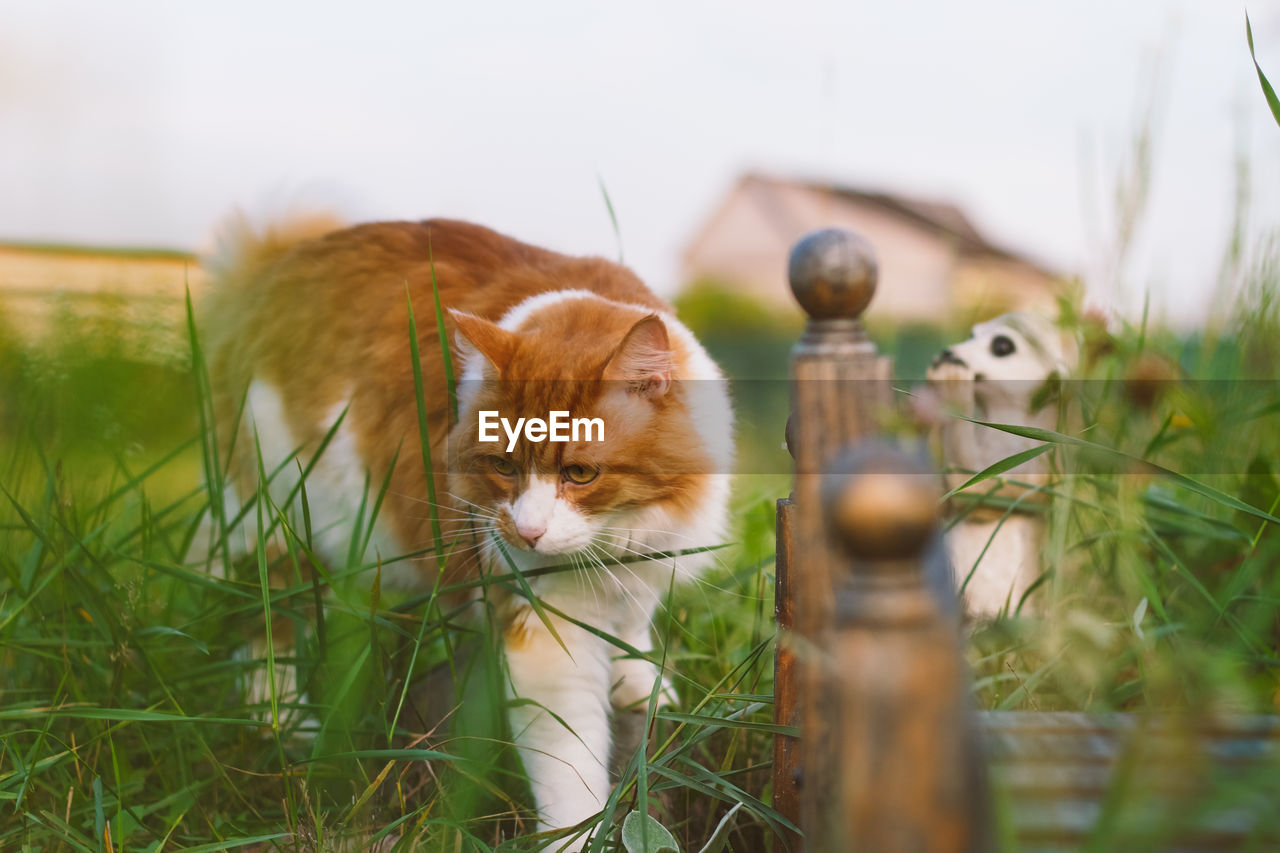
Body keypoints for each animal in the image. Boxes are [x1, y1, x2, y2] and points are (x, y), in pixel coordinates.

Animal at [204, 217, 737, 845]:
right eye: (503, 466)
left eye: (579, 473)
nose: (527, 533)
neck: (621, 532)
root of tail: (275, 261)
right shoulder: (545, 630)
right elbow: (571, 768)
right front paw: (574, 838)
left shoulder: (644, 569)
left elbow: (634, 626)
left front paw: (636, 678)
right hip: (274, 520)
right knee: (262, 626)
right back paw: (285, 726)